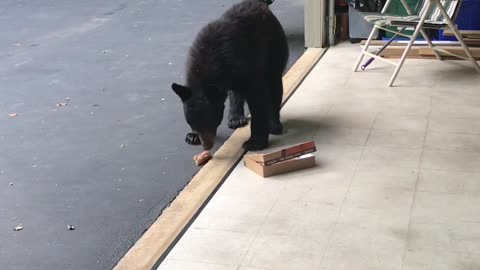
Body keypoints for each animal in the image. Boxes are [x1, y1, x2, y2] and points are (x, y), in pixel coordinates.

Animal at [171, 0, 286, 152]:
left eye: (211, 121)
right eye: (192, 123)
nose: (207, 146)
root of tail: (257, 3)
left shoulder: (246, 67)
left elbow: (258, 100)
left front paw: (254, 142)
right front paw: (192, 136)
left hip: (273, 47)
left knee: (274, 84)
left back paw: (274, 123)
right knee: (236, 92)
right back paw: (235, 117)